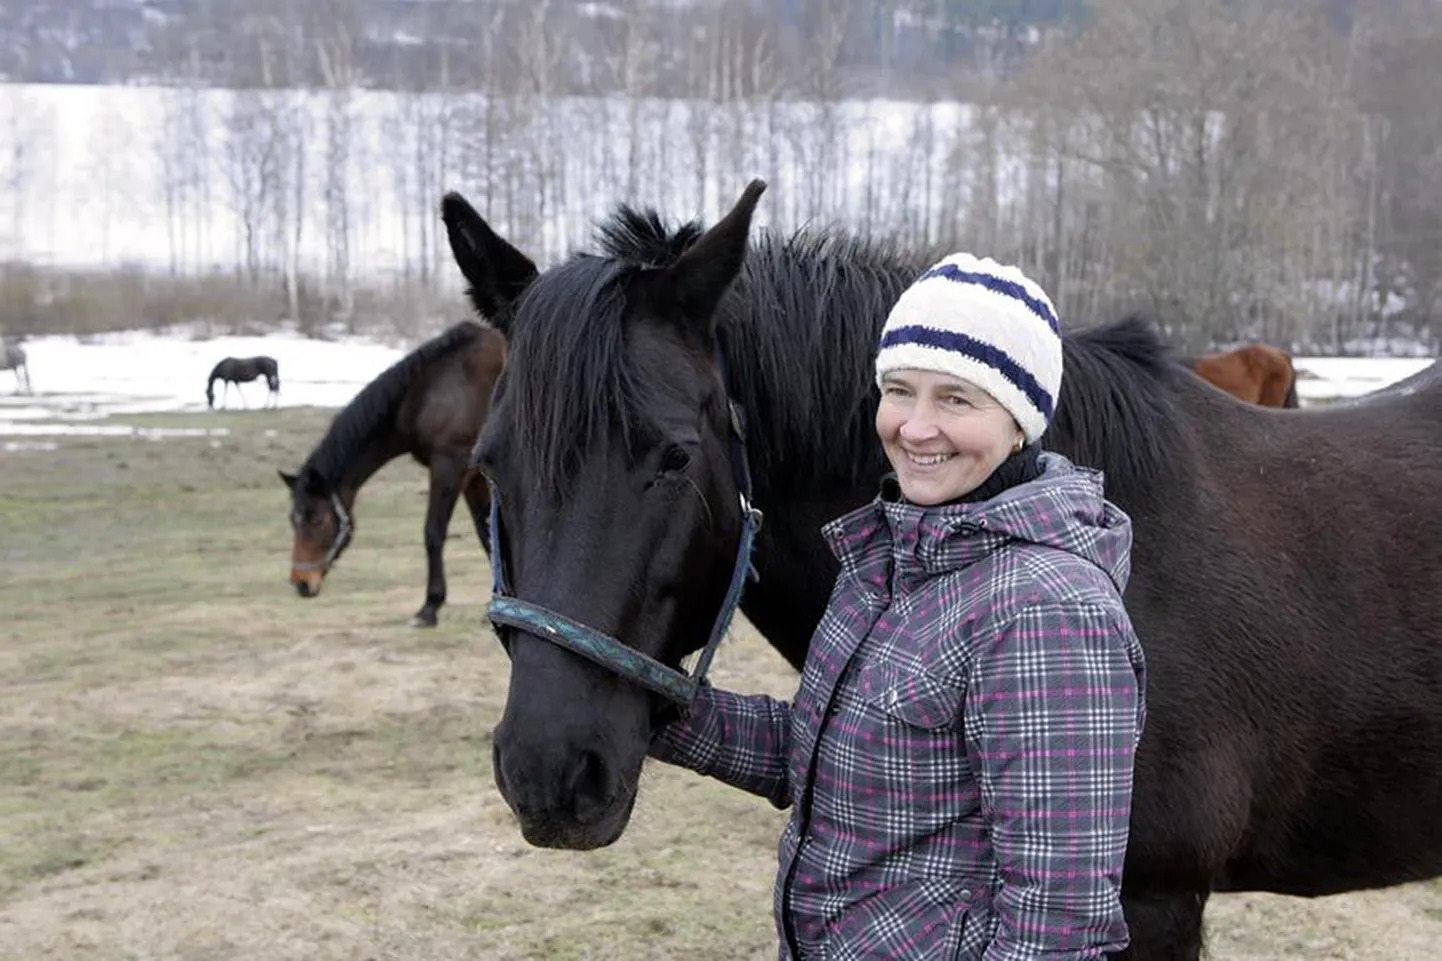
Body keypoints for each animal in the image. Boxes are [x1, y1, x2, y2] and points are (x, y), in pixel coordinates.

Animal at [279, 317, 507, 626]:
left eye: (317, 519)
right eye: (293, 520)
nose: (302, 583)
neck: (431, 388)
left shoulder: (449, 466)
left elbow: (433, 532)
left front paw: (429, 607)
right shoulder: (474, 481)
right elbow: (488, 537)